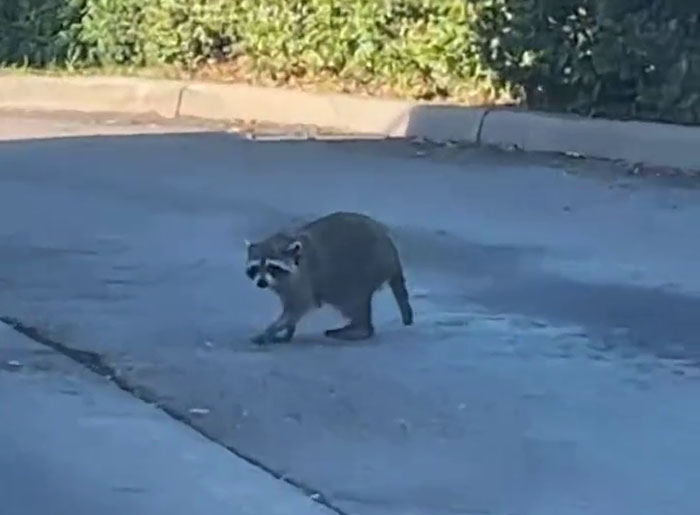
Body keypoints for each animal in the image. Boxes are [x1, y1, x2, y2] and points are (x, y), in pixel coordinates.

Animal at [245, 212, 412, 344]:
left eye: (272, 267)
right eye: (255, 267)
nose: (261, 283)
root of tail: (391, 249)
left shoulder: (302, 279)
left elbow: (299, 307)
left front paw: (272, 330)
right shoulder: (284, 286)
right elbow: (290, 308)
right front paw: (288, 331)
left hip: (366, 268)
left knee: (352, 300)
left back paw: (361, 329)